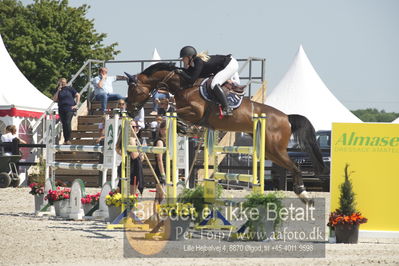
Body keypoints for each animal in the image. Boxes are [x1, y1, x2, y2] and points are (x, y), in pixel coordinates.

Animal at [126, 62, 326, 204]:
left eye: (134, 89)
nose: (129, 110)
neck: (184, 85)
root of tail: (286, 117)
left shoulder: (195, 111)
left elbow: (171, 109)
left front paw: (183, 126)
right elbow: (171, 112)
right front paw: (183, 127)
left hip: (275, 149)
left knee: (295, 167)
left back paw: (305, 196)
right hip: (269, 151)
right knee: (291, 167)